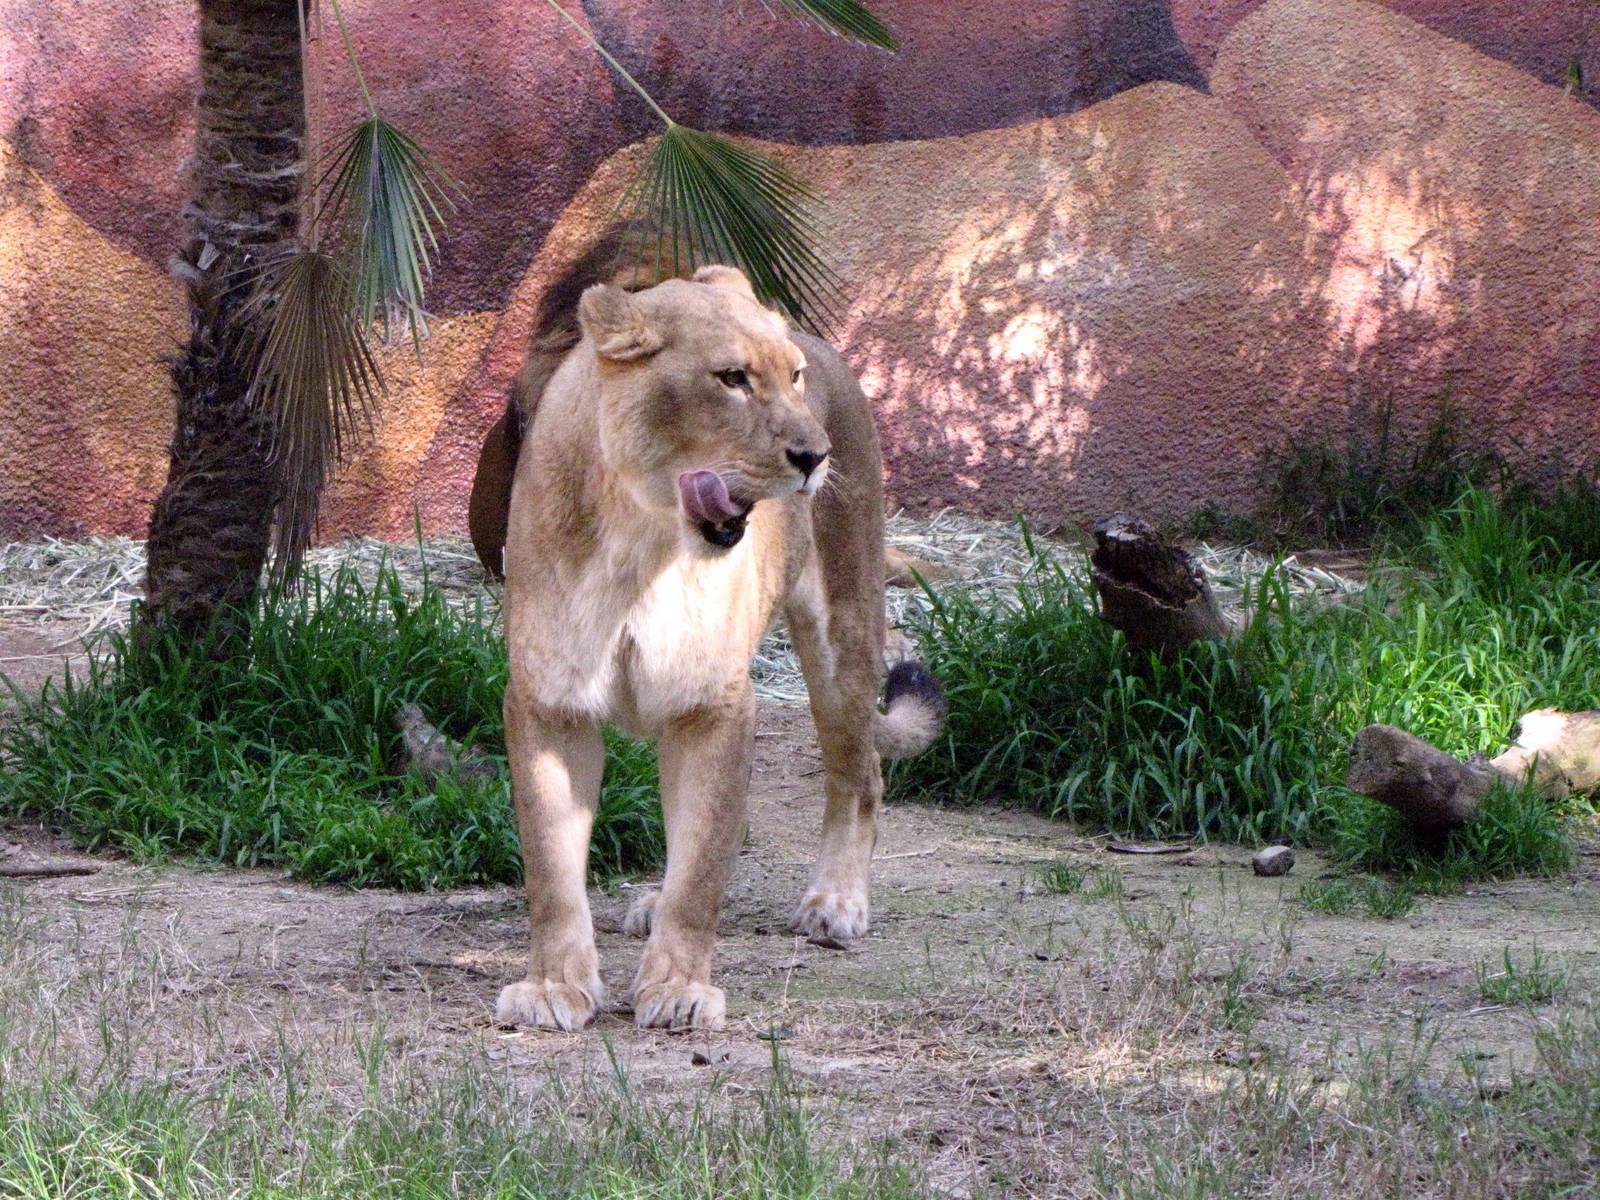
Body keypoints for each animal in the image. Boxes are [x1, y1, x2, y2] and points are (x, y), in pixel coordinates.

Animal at [487, 259, 946, 1031]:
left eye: (791, 378)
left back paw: (836, 902)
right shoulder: (550, 702)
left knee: (861, 774)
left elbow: (703, 868)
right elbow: (551, 865)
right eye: (731, 378)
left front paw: (677, 988)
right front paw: (553, 986)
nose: (814, 456)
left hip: (844, 635)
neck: (641, 544)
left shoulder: (716, 703)